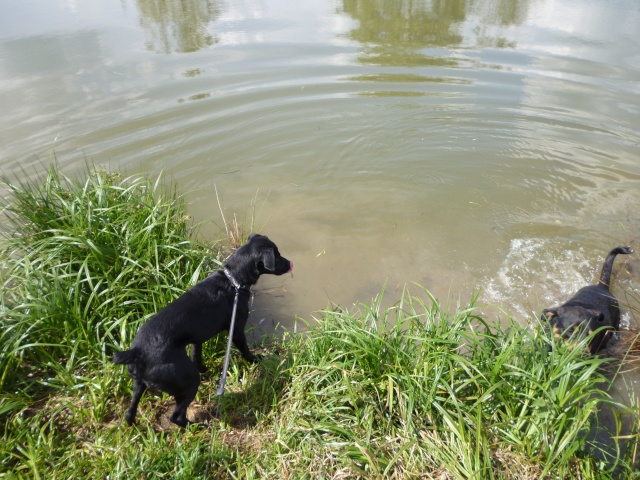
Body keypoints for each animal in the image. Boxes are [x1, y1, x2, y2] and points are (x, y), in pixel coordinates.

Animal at [112, 234, 292, 426]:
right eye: (277, 255)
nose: (290, 264)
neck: (233, 281)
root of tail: (137, 353)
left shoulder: (196, 339)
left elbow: (196, 356)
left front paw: (204, 368)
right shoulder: (236, 330)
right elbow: (245, 350)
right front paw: (256, 360)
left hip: (139, 384)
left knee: (130, 412)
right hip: (188, 381)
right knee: (176, 416)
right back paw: (197, 425)